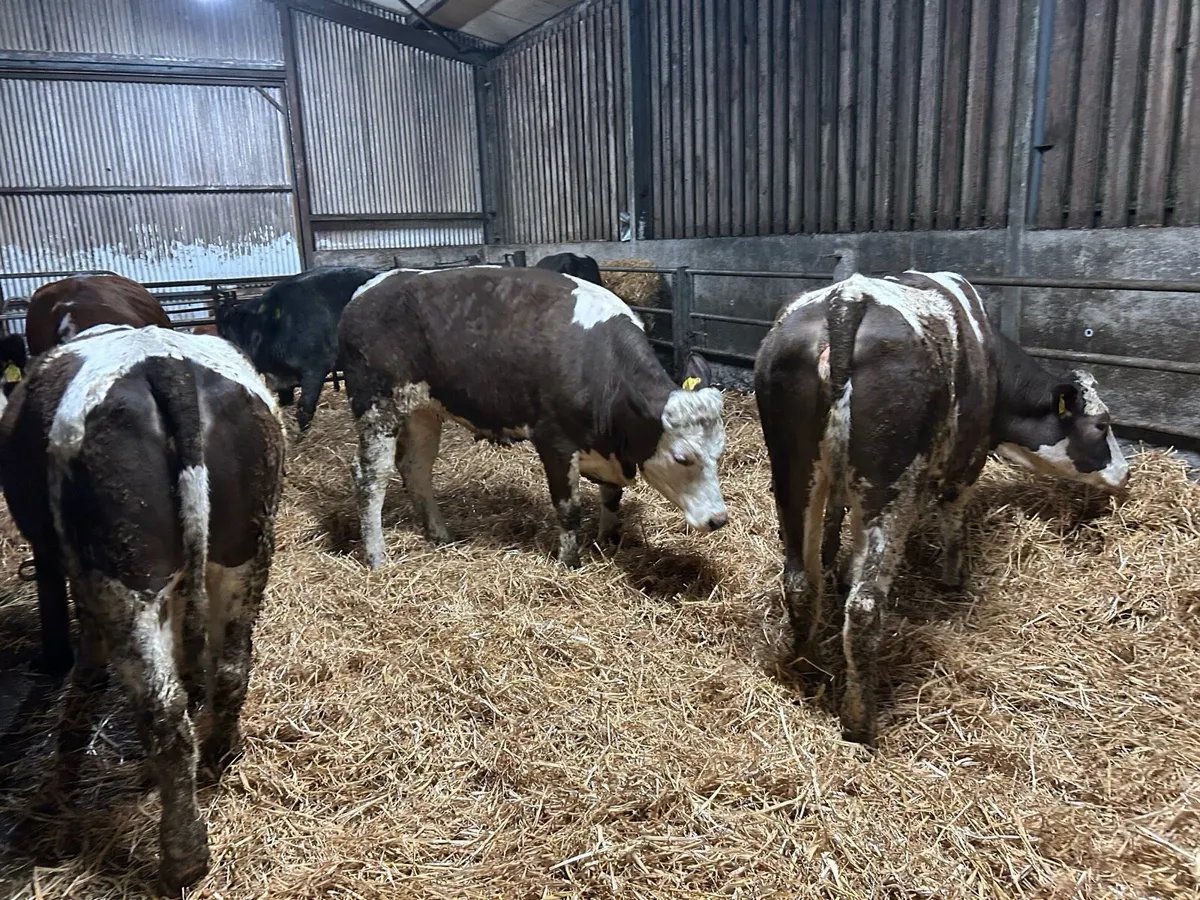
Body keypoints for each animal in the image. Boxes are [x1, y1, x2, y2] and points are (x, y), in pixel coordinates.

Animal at [0, 324, 285, 893]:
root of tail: (163, 363)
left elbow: (88, 674)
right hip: (245, 547)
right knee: (231, 667)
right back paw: (218, 758)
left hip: (124, 572)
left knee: (162, 711)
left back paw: (183, 858)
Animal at [338, 266, 728, 570]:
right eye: (682, 458)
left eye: (720, 452)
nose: (719, 519)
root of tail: (368, 289)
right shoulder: (554, 440)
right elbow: (569, 508)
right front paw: (570, 562)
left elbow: (611, 497)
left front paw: (608, 540)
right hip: (376, 404)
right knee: (370, 478)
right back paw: (377, 556)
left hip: (423, 410)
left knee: (416, 468)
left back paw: (440, 535)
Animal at [754, 271, 1129, 746]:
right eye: (1102, 425)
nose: (1125, 475)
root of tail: (847, 299)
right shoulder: (968, 457)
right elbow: (954, 515)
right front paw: (954, 578)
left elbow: (837, 526)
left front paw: (838, 566)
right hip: (890, 478)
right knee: (864, 607)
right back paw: (860, 721)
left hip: (793, 471)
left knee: (800, 582)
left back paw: (808, 669)